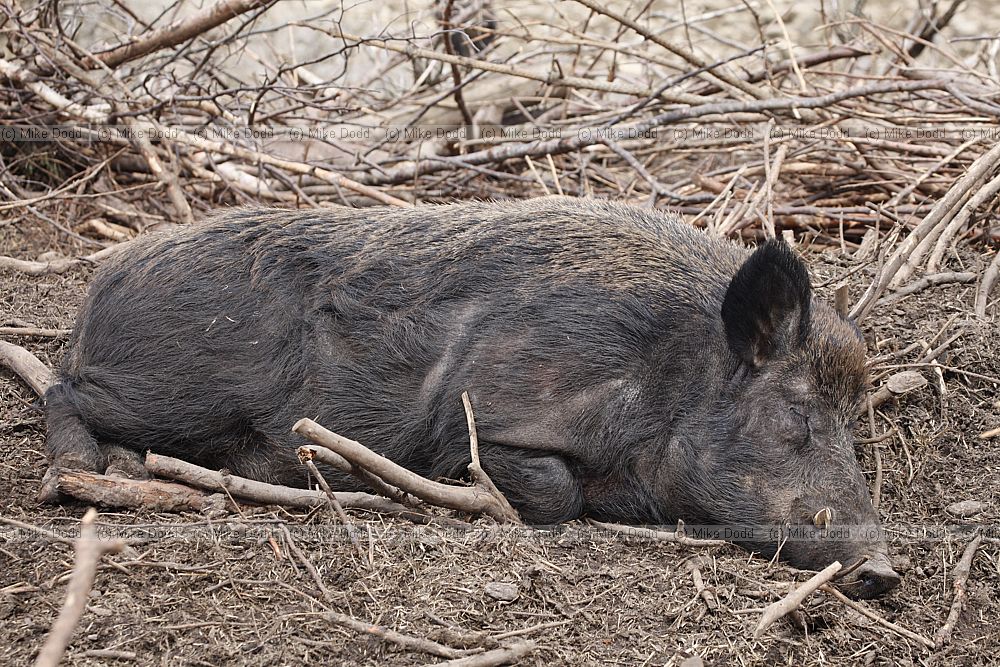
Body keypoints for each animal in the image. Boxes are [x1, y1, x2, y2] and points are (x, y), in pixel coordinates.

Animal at [42, 197, 900, 598]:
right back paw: (77, 476)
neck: (663, 374)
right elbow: (549, 489)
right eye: (797, 414)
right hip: (166, 392)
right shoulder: (497, 406)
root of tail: (100, 284)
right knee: (61, 386)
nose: (885, 569)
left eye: (853, 426)